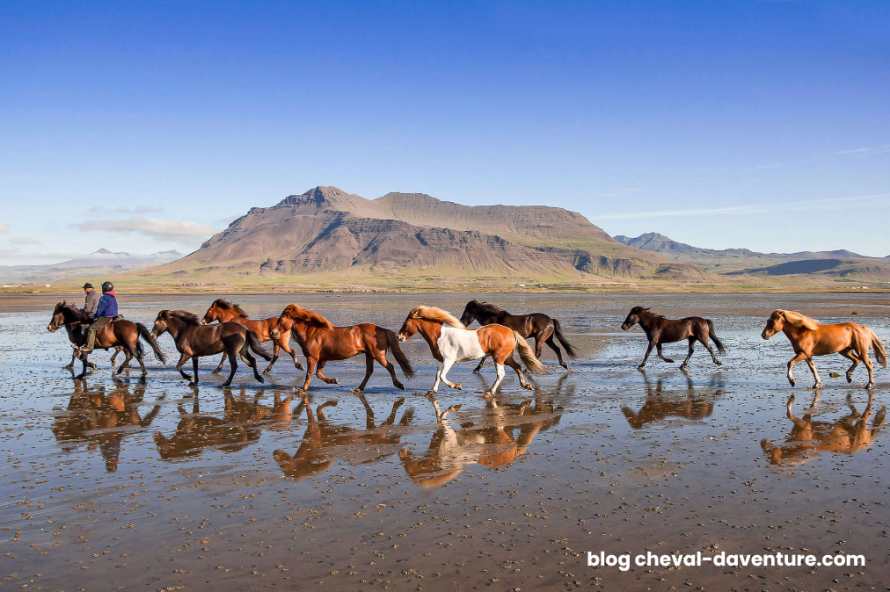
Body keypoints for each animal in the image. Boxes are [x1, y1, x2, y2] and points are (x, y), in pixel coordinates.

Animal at [269, 305, 414, 394]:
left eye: (281, 319)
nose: (272, 333)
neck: (312, 333)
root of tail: (382, 329)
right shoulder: (322, 359)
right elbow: (318, 374)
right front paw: (333, 381)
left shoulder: (312, 358)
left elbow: (309, 374)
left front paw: (302, 389)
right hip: (369, 355)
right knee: (369, 371)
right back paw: (358, 389)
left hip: (377, 354)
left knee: (390, 367)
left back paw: (399, 384)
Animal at [397, 306, 547, 395]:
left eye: (406, 323)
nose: (399, 337)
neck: (439, 335)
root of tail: (511, 331)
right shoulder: (440, 360)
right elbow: (437, 376)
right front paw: (432, 391)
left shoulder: (449, 360)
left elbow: (442, 376)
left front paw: (457, 386)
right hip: (506, 357)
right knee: (518, 367)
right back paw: (526, 385)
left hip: (499, 357)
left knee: (501, 374)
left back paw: (490, 392)